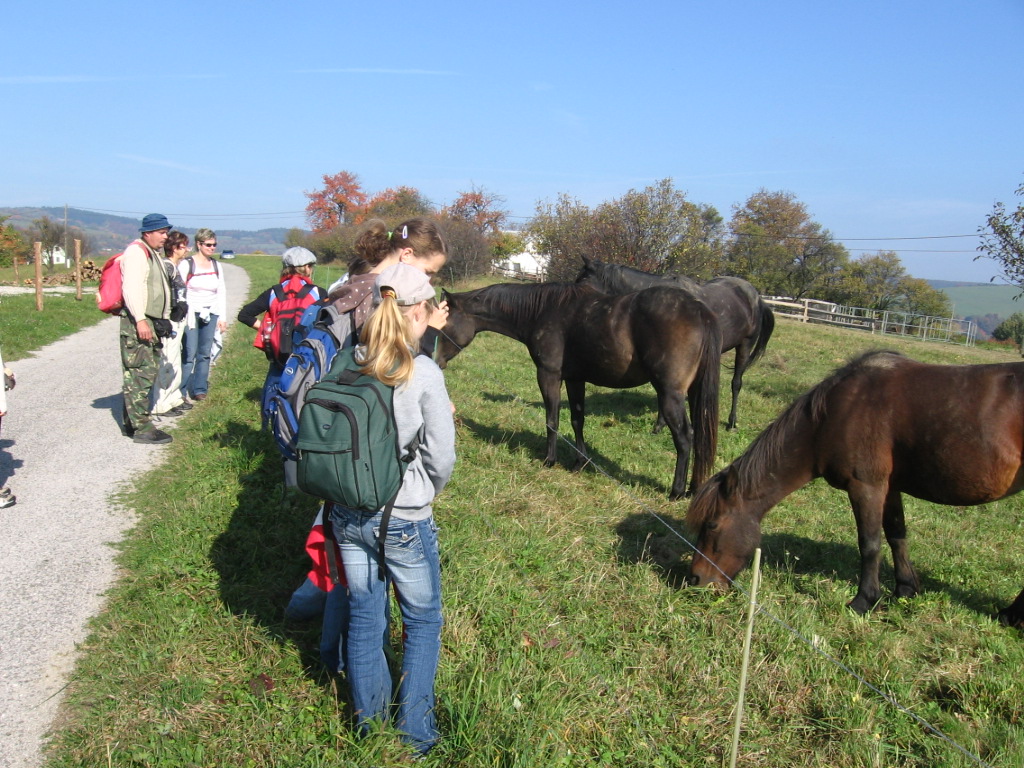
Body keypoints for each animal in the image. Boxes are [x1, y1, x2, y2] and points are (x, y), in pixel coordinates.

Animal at [438, 280, 720, 499]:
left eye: (443, 325)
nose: (437, 360)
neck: (543, 311)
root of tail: (699, 310)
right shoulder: (575, 379)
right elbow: (577, 419)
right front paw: (579, 462)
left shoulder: (549, 375)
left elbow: (552, 419)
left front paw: (549, 460)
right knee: (699, 435)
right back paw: (693, 488)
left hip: (670, 394)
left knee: (684, 437)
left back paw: (676, 491)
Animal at [577, 256, 774, 430]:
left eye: (583, 279)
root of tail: (755, 296)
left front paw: (659, 424)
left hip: (745, 345)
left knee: (736, 383)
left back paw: (732, 422)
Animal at [684, 352, 1024, 626]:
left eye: (712, 524)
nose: (696, 578)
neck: (836, 412)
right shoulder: (889, 486)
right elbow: (897, 535)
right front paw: (904, 589)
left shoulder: (866, 486)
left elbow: (870, 544)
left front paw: (864, 601)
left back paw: (1012, 615)